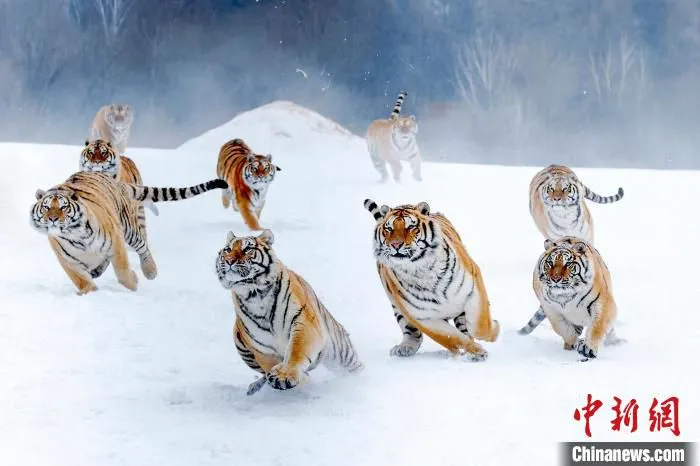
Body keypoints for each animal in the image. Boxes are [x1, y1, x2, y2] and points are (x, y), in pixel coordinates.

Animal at [30, 171, 228, 295]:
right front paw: (90, 293)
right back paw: (97, 271)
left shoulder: (115, 240)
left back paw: (150, 271)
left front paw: (134, 283)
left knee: (143, 247)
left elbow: (122, 271)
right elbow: (82, 280)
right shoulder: (68, 260)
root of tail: (114, 180)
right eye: (46, 207)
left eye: (63, 207)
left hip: (128, 229)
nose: (53, 219)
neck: (74, 235)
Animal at [215, 229, 363, 394]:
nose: (229, 260)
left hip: (341, 351)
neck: (254, 293)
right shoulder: (261, 347)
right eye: (227, 250)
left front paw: (285, 375)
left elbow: (296, 352)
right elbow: (269, 366)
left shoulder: (304, 322)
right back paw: (255, 387)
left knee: (355, 367)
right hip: (238, 340)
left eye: (247, 249)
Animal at [363, 199, 500, 361]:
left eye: (410, 227)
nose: (395, 245)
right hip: (398, 308)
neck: (420, 269)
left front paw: (495, 329)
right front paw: (476, 351)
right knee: (412, 332)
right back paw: (405, 348)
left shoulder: (472, 284)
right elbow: (452, 338)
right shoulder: (422, 317)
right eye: (389, 229)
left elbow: (480, 325)